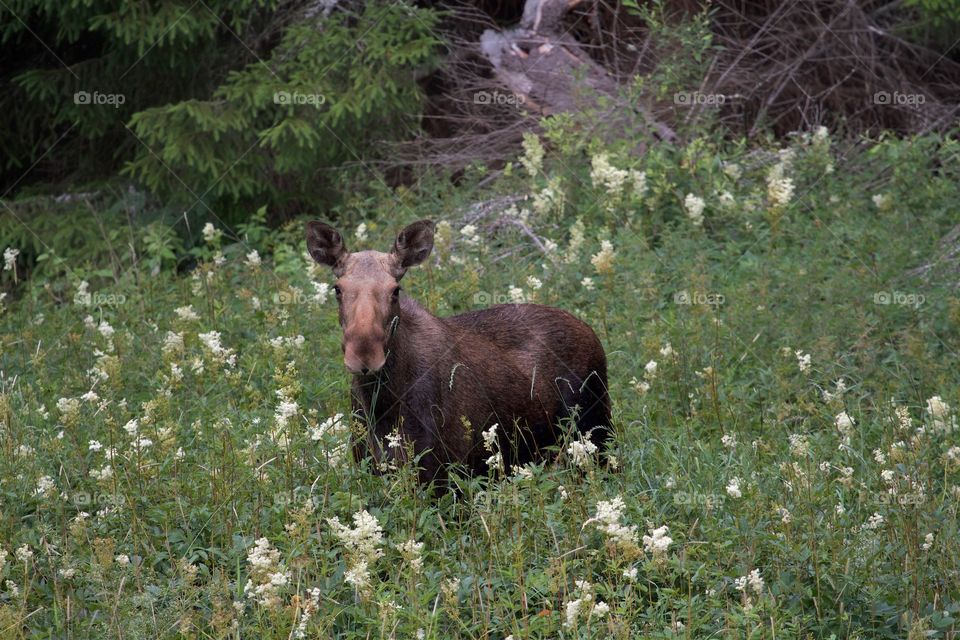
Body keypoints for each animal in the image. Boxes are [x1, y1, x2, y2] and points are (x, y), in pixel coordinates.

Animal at [306, 219, 610, 484]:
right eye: (337, 289)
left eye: (395, 290)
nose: (364, 355)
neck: (381, 403)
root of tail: (591, 332)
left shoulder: (443, 475)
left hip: (596, 433)